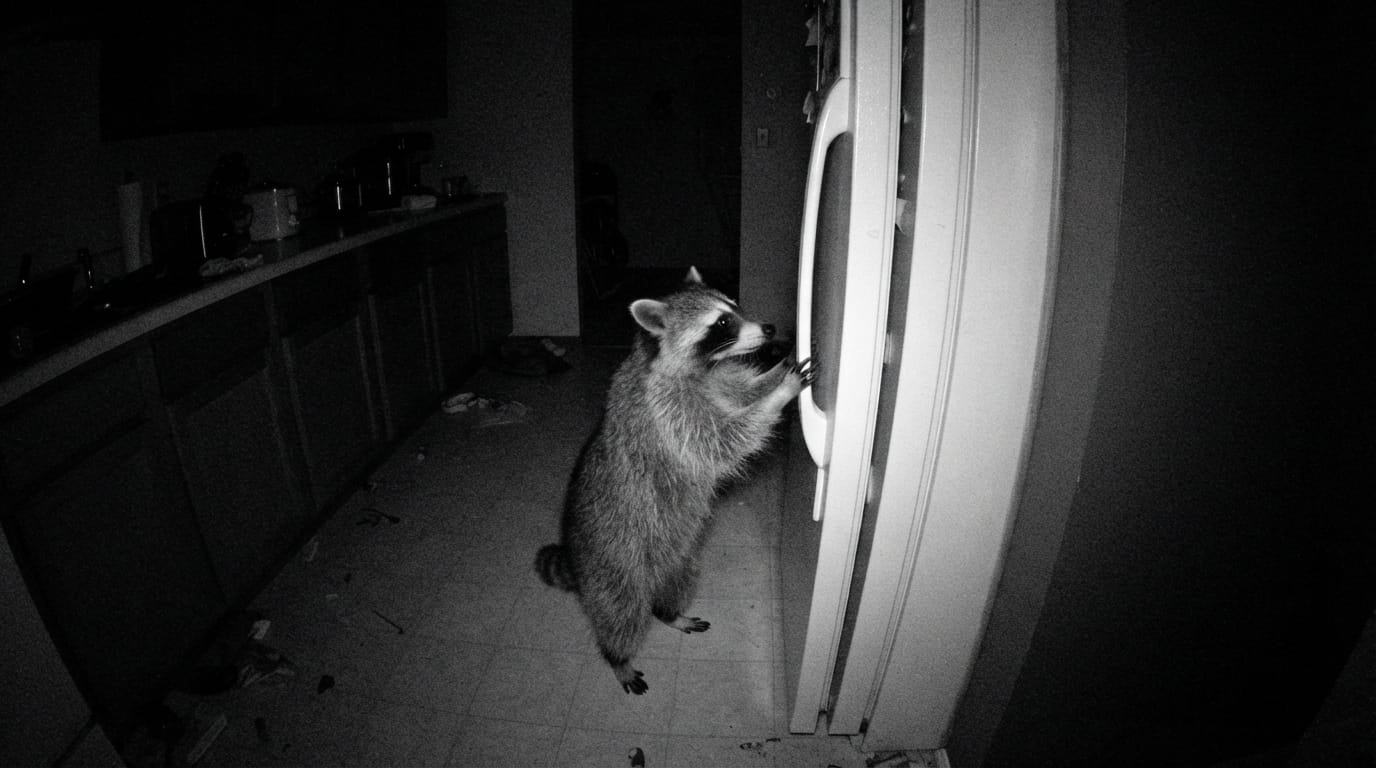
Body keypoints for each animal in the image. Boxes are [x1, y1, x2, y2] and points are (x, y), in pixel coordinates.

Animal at [536, 267, 812, 694]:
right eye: (721, 323)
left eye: (735, 305)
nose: (769, 329)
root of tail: (580, 562)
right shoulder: (666, 410)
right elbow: (721, 441)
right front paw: (779, 393)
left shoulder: (719, 380)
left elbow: (743, 391)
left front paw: (777, 370)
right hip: (616, 560)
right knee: (622, 612)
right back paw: (617, 657)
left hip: (678, 556)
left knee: (676, 583)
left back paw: (669, 613)